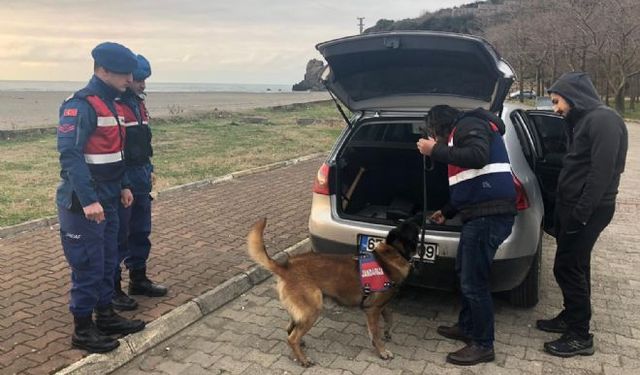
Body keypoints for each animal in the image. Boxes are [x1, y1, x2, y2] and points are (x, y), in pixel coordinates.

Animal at [246, 217, 420, 368]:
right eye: (413, 228)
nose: (420, 217)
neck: (390, 255)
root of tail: (286, 267)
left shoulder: (381, 306)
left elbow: (390, 317)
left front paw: (388, 332)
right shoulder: (372, 310)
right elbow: (375, 334)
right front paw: (382, 351)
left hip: (302, 310)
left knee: (290, 329)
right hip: (312, 310)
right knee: (292, 338)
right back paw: (303, 359)